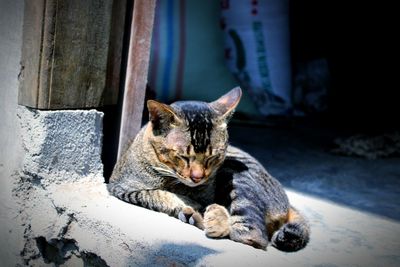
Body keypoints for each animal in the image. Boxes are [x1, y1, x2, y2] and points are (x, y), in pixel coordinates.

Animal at [108, 88, 310, 253]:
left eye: (212, 157)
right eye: (183, 157)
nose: (197, 177)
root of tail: (288, 203)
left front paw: (205, 210)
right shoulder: (122, 187)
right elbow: (159, 194)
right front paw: (190, 205)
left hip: (234, 173)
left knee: (254, 237)